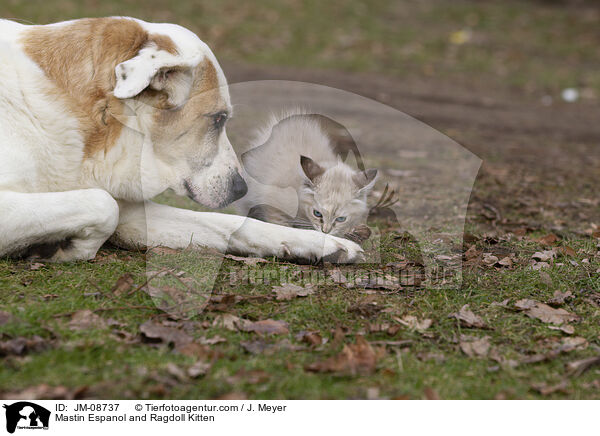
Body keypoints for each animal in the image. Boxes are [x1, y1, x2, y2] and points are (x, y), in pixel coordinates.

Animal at [0, 17, 360, 262]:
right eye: (218, 119)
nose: (241, 188)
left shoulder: (132, 214)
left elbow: (232, 223)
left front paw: (327, 245)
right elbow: (102, 204)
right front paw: (64, 246)